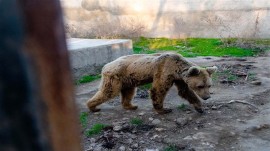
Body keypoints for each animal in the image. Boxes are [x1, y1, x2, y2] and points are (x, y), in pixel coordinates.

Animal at [86, 52, 217, 114]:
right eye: (200, 86)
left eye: (209, 85)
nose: (207, 97)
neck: (177, 69)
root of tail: (106, 65)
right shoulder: (165, 70)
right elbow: (159, 89)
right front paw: (163, 109)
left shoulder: (179, 79)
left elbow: (185, 91)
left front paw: (199, 107)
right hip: (115, 76)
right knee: (108, 92)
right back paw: (92, 107)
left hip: (128, 79)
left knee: (129, 92)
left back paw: (131, 106)